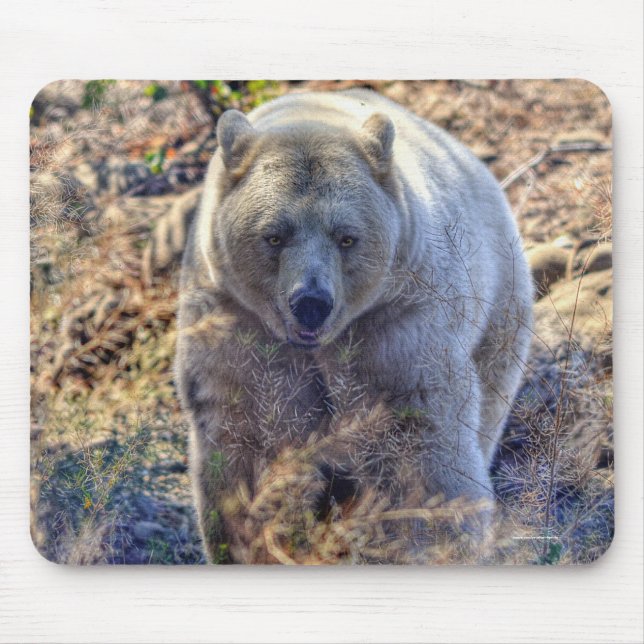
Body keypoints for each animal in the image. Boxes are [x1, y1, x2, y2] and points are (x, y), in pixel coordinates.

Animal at [175, 88, 534, 564]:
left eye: (346, 236)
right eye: (274, 235)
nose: (311, 303)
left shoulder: (395, 326)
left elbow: (419, 443)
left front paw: (437, 539)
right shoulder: (239, 331)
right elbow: (251, 441)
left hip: (499, 306)